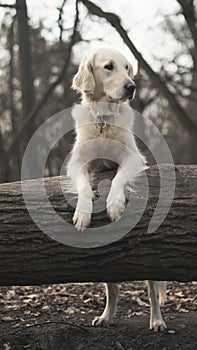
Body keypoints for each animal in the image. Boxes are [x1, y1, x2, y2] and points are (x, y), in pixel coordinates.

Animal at [67, 48, 167, 330]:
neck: (104, 120)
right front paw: (82, 214)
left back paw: (157, 320)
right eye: (109, 67)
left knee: (152, 291)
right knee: (113, 289)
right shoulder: (77, 162)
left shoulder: (133, 157)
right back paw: (106, 316)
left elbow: (118, 178)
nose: (131, 86)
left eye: (127, 68)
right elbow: (84, 186)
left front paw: (115, 206)